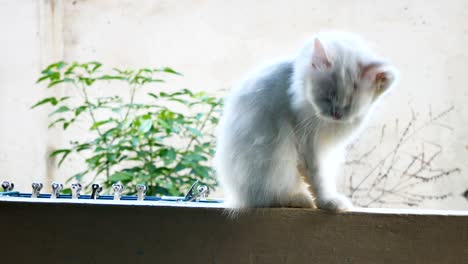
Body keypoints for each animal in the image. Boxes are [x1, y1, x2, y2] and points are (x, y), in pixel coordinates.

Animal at [214, 32, 396, 211]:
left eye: (349, 101)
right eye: (328, 96)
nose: (336, 114)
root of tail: (237, 197)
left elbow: (389, 75)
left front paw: (382, 77)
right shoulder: (306, 142)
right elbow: (318, 178)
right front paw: (328, 202)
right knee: (267, 198)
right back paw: (300, 200)